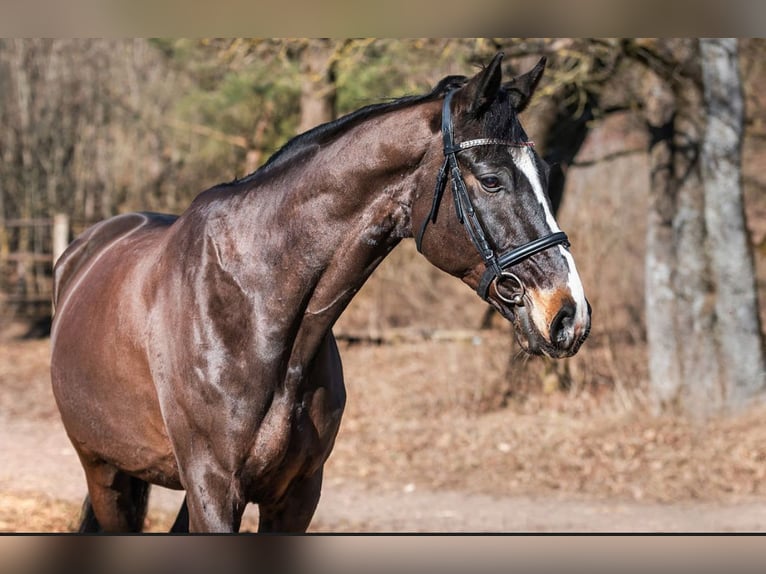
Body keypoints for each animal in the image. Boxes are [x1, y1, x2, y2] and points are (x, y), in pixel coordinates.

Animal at [49, 54, 592, 536]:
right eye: (491, 180)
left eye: (546, 174)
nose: (569, 315)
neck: (254, 306)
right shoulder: (213, 490)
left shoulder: (297, 495)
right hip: (106, 473)